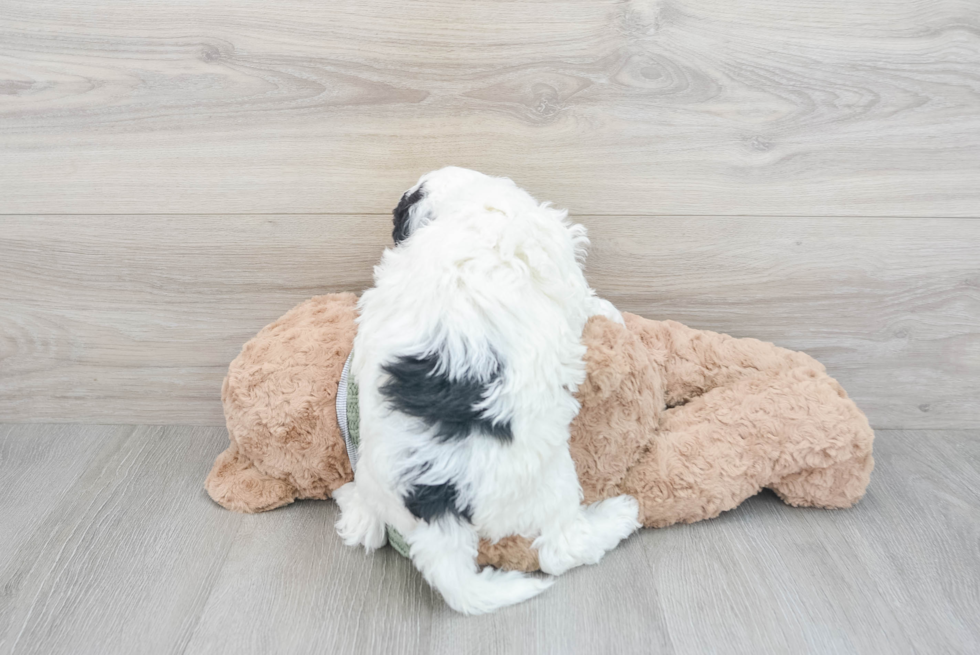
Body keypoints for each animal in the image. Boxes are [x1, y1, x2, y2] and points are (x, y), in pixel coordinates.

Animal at [334, 165, 644, 616]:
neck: (462, 204)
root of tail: (436, 510)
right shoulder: (561, 267)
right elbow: (586, 302)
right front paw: (610, 313)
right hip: (549, 478)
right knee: (562, 549)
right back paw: (618, 516)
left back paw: (356, 509)